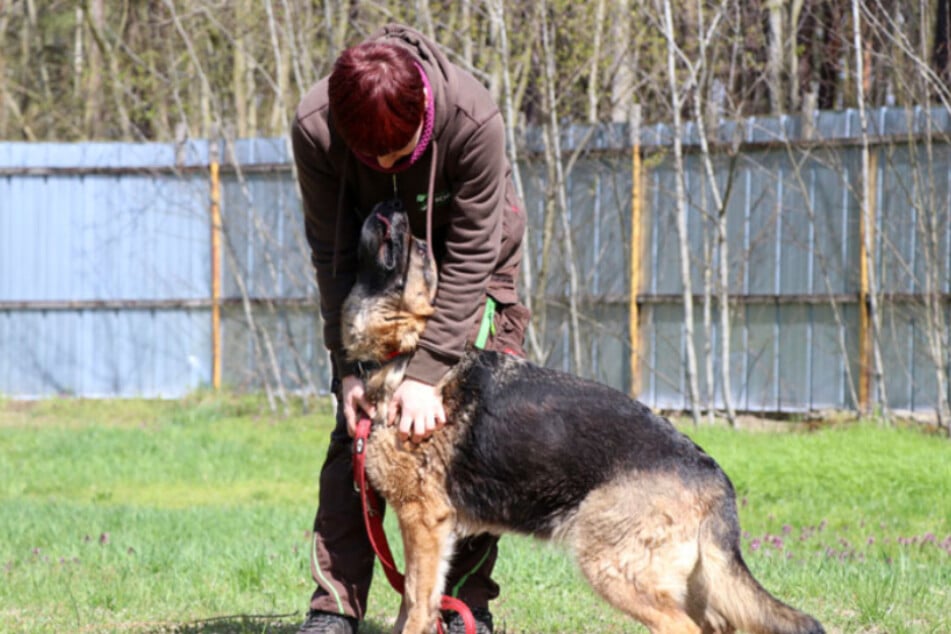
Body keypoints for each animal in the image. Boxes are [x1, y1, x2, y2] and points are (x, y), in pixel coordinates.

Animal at [342, 200, 824, 632]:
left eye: (419, 248)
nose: (392, 203)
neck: (403, 348)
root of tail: (716, 476)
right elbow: (410, 602)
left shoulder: (423, 521)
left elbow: (416, 602)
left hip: (613, 566)